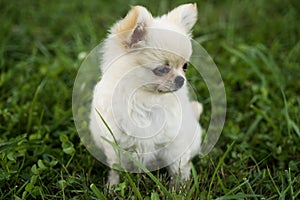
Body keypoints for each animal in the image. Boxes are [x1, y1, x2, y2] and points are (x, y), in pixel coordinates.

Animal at [89, 2, 202, 186]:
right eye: (162, 70)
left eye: (185, 66)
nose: (181, 80)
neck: (146, 98)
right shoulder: (115, 143)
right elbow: (116, 168)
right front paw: (113, 186)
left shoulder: (174, 143)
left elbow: (178, 168)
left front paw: (180, 188)